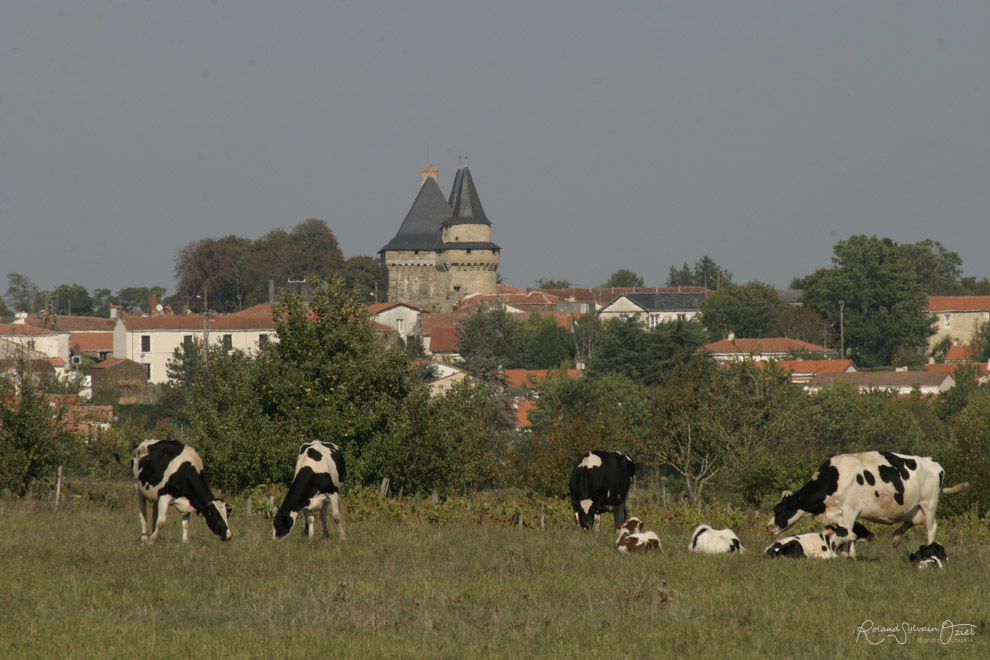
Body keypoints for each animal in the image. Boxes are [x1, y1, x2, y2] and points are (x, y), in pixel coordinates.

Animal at [768, 452, 968, 548]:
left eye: (777, 510)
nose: (768, 527)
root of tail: (934, 463)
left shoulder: (850, 509)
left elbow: (848, 533)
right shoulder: (837, 514)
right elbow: (848, 531)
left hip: (929, 503)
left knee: (930, 527)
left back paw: (928, 548)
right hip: (912, 507)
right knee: (911, 521)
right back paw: (896, 537)